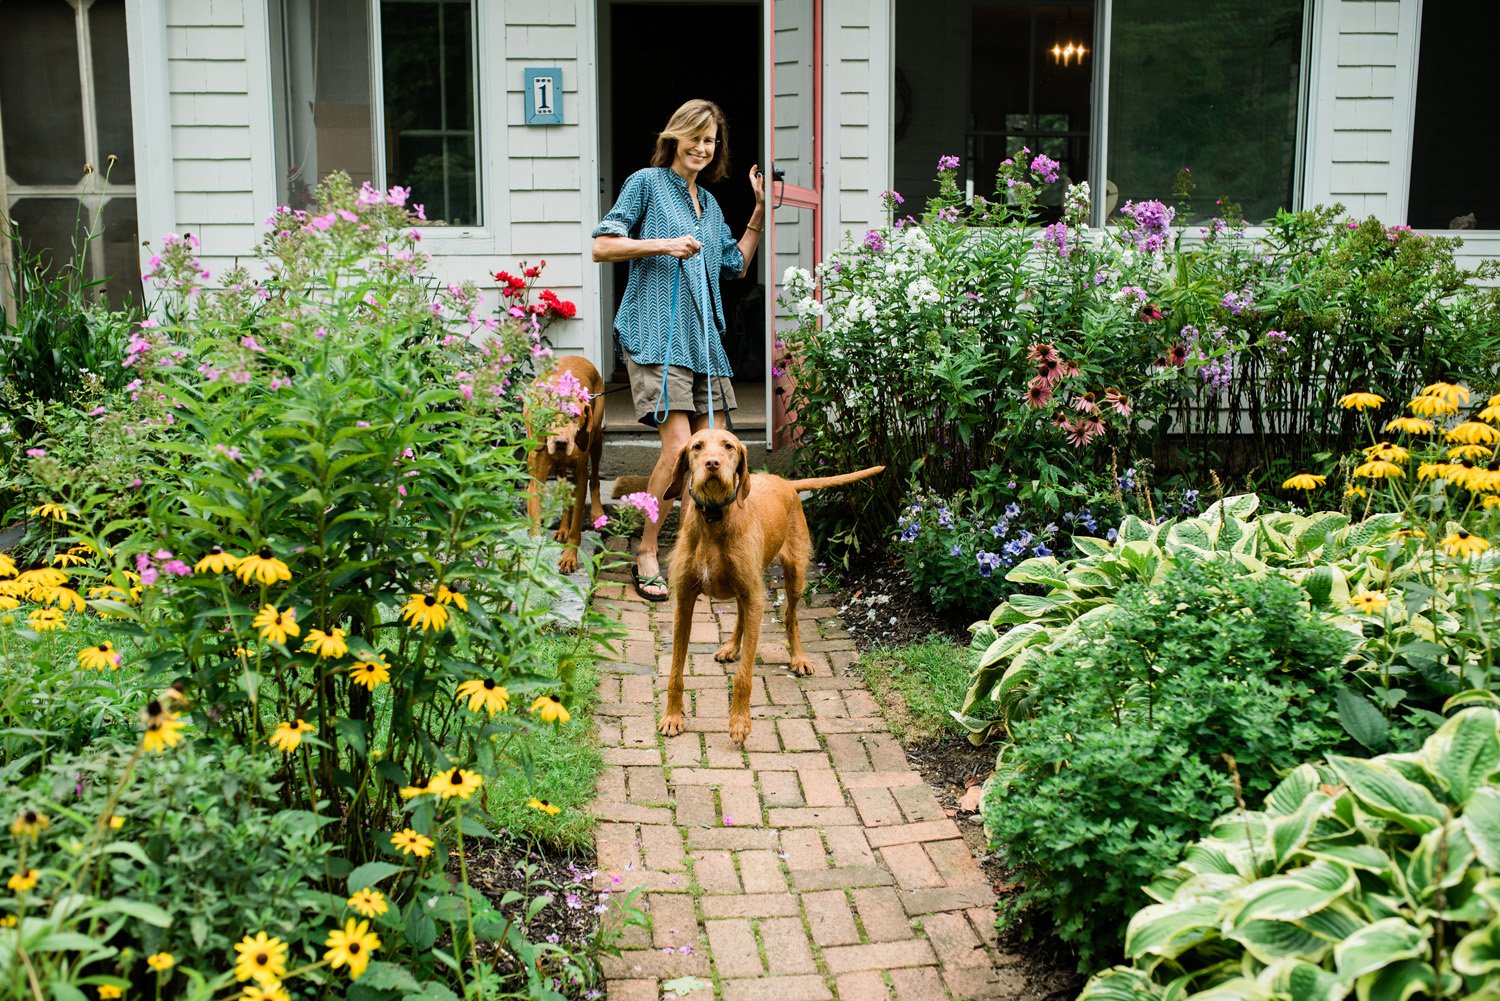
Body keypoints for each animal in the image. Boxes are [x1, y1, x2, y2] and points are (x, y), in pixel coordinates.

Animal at [522, 355, 603, 576]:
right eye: (550, 415)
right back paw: (562, 530)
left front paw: (569, 557)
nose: (560, 443)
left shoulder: (581, 476)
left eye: (575, 416)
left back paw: (597, 512)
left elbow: (577, 524)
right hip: (558, 466)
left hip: (596, 438)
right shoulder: (536, 481)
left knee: (595, 479)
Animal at [663, 426, 882, 747]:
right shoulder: (685, 600)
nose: (713, 464)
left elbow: (744, 676)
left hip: (794, 576)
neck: (715, 520)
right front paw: (672, 716)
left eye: (728, 446)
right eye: (697, 447)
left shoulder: (754, 595)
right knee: (743, 615)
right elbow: (675, 669)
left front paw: (740, 722)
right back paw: (731, 647)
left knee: (791, 618)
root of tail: (786, 482)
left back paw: (798, 658)